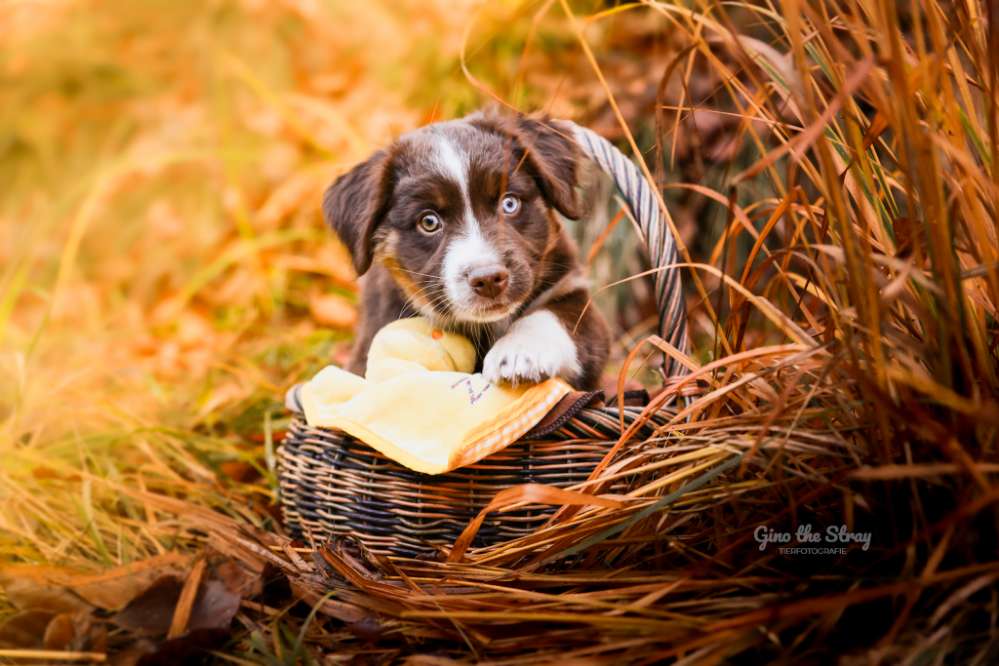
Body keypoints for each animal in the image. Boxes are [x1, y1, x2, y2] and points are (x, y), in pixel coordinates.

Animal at [324, 110, 612, 390]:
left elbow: (553, 315)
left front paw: (519, 352)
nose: (489, 279)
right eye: (429, 222)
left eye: (509, 203)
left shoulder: (570, 289)